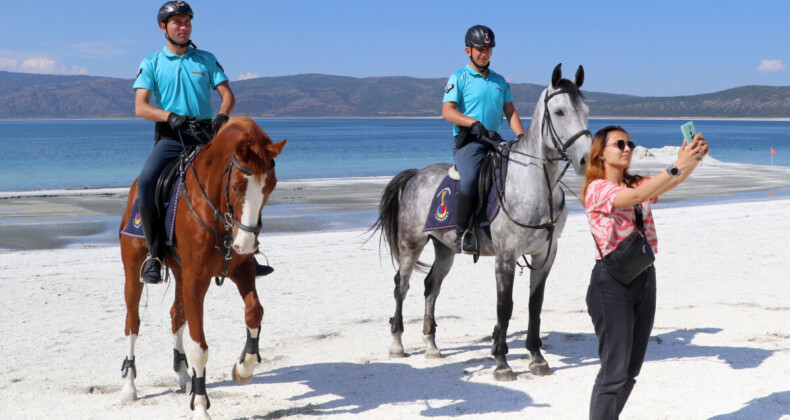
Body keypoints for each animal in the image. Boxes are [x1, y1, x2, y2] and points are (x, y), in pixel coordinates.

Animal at [119, 116, 286, 418]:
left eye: (270, 186)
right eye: (237, 186)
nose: (246, 243)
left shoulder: (240, 270)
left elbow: (254, 312)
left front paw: (243, 368)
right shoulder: (197, 280)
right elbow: (200, 347)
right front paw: (200, 405)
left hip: (180, 274)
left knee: (176, 315)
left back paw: (184, 374)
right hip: (134, 270)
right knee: (132, 323)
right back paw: (129, 386)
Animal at [374, 63, 592, 380]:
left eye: (586, 110)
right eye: (560, 111)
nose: (587, 160)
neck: (535, 184)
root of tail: (416, 175)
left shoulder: (545, 254)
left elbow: (534, 305)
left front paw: (537, 357)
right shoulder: (505, 255)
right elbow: (505, 306)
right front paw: (501, 362)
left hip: (445, 248)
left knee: (431, 286)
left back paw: (431, 345)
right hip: (410, 245)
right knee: (401, 285)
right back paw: (397, 343)